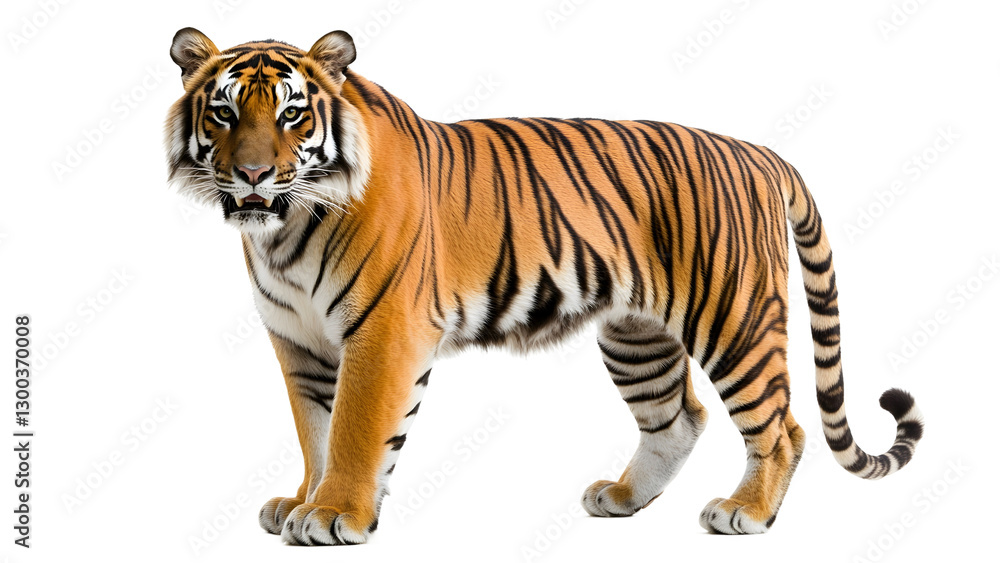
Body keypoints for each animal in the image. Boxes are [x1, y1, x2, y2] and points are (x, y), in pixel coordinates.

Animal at [165, 27, 923, 545]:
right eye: (224, 113)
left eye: (292, 114)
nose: (254, 175)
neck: (283, 230)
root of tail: (760, 152)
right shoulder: (299, 339)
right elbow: (314, 429)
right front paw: (303, 500)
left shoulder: (381, 331)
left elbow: (354, 428)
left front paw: (332, 514)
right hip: (637, 335)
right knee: (679, 417)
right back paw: (623, 497)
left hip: (733, 316)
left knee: (782, 426)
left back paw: (746, 511)